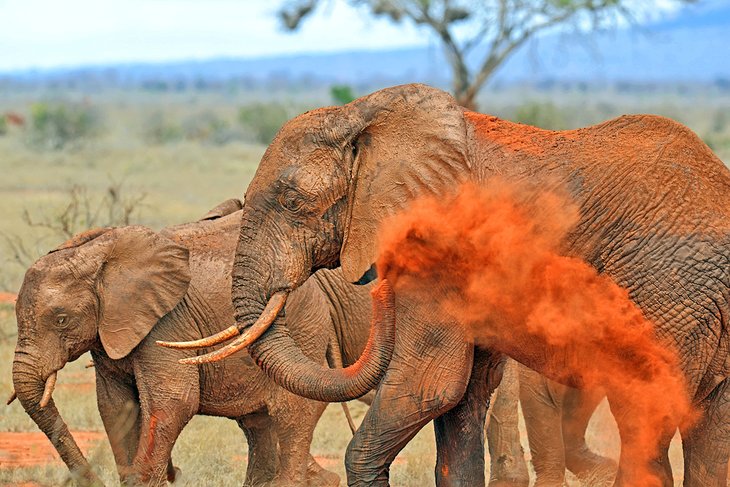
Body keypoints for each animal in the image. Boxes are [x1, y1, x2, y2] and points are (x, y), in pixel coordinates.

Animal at [9, 200, 386, 486]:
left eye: (61, 319)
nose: (176, 471)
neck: (97, 256)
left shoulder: (167, 323)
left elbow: (174, 403)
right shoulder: (108, 335)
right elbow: (116, 407)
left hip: (303, 326)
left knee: (289, 413)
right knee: (258, 425)